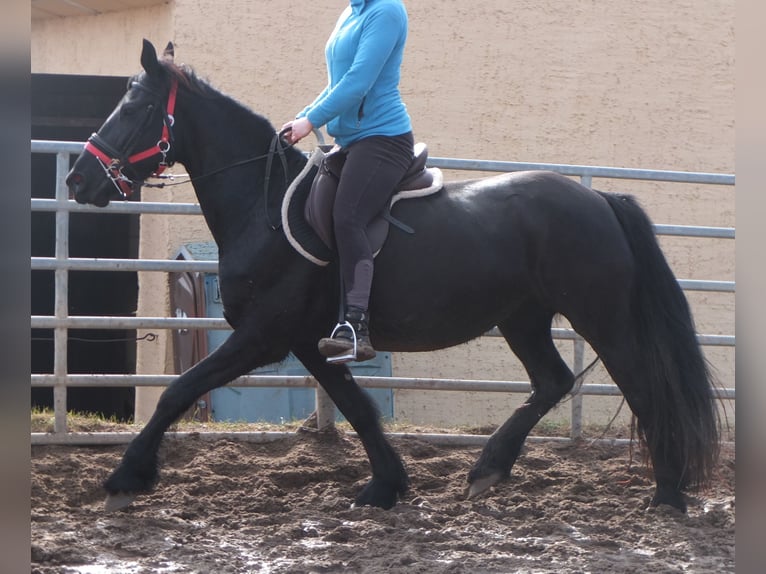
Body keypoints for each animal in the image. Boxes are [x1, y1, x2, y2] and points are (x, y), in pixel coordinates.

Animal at [66, 42, 720, 516]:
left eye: (134, 108)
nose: (78, 180)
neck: (265, 204)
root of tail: (600, 201)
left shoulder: (262, 336)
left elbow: (178, 391)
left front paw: (126, 477)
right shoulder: (311, 343)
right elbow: (358, 410)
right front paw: (387, 486)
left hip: (600, 317)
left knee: (643, 388)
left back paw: (667, 495)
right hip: (524, 319)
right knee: (553, 382)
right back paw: (488, 470)